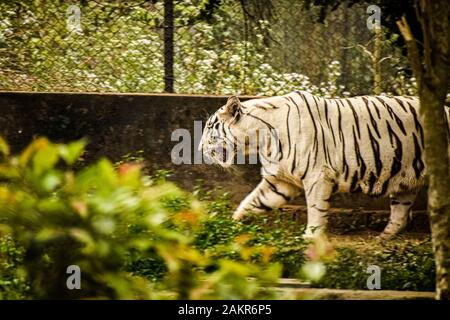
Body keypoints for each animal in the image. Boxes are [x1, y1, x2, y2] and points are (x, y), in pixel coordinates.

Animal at [200, 90, 450, 238]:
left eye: (210, 127)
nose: (200, 149)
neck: (260, 139)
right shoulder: (280, 181)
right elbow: (252, 202)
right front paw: (232, 225)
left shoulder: (317, 177)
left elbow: (315, 209)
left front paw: (311, 237)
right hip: (405, 181)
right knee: (400, 215)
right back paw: (383, 239)